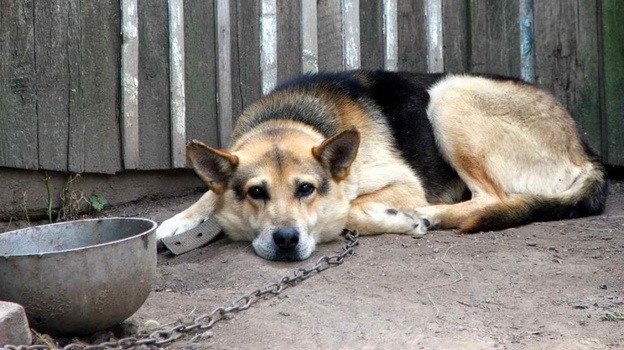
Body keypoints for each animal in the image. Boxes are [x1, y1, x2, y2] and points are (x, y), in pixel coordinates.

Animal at [155, 69, 604, 260]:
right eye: (255, 193)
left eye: (306, 189)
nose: (285, 240)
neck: (287, 118)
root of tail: (583, 150)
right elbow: (207, 194)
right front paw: (177, 221)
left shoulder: (401, 183)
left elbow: (349, 209)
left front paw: (399, 218)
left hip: (449, 94)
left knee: (491, 197)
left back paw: (430, 215)